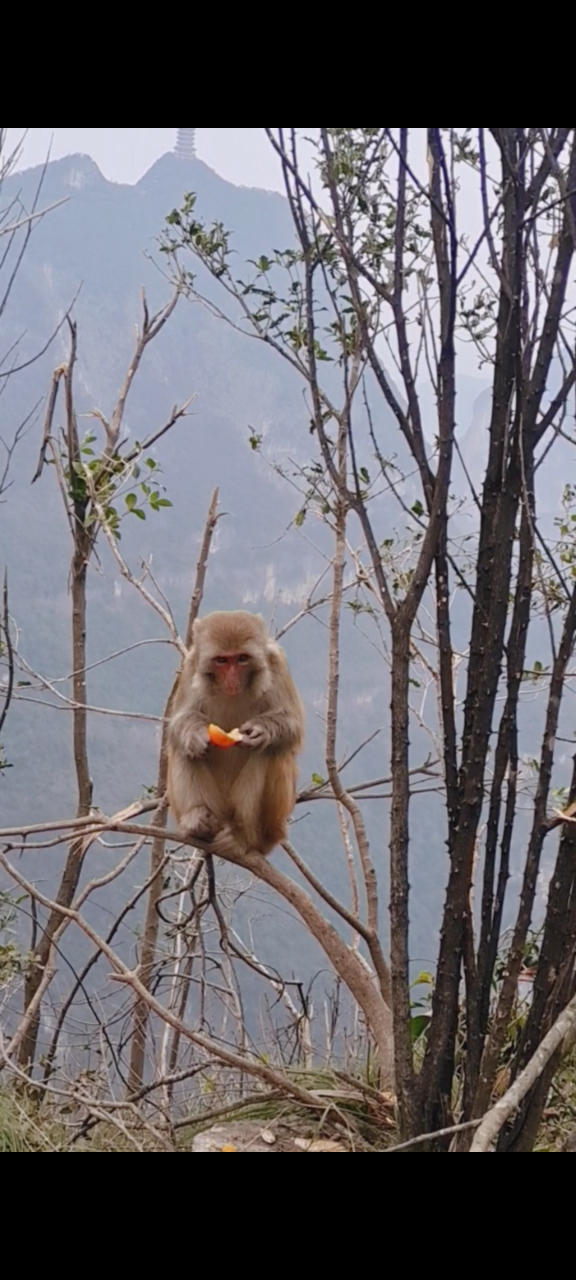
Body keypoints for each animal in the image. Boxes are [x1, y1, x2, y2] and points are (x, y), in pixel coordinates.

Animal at [165, 611, 303, 855]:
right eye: (222, 660)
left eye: (242, 659)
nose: (232, 680)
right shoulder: (190, 665)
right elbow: (180, 721)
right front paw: (194, 733)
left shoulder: (277, 662)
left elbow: (292, 724)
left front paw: (262, 731)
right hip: (215, 807)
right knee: (182, 749)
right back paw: (196, 821)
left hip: (271, 827)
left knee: (270, 751)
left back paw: (243, 837)